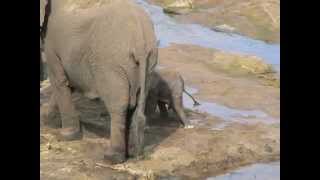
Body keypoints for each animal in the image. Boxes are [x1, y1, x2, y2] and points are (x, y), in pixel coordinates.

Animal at [40, 0, 158, 164]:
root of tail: (140, 39)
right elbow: (69, 84)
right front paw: (46, 118)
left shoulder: (53, 41)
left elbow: (59, 81)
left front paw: (65, 136)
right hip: (148, 64)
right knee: (137, 101)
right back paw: (133, 154)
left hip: (111, 64)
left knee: (119, 105)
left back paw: (111, 157)